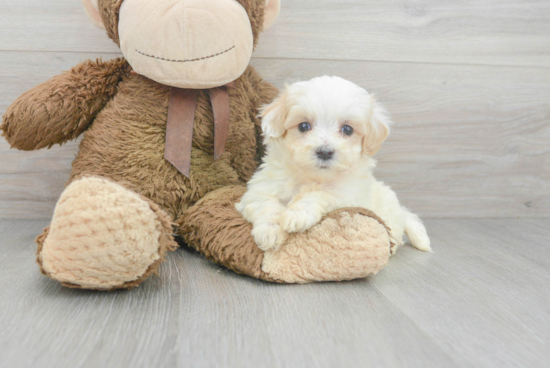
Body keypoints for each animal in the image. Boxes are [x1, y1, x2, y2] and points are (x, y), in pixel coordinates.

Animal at [235, 75, 434, 253]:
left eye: (347, 129)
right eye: (303, 126)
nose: (325, 151)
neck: (311, 177)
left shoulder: (348, 195)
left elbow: (322, 193)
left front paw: (297, 215)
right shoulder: (260, 189)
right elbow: (265, 204)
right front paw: (270, 233)